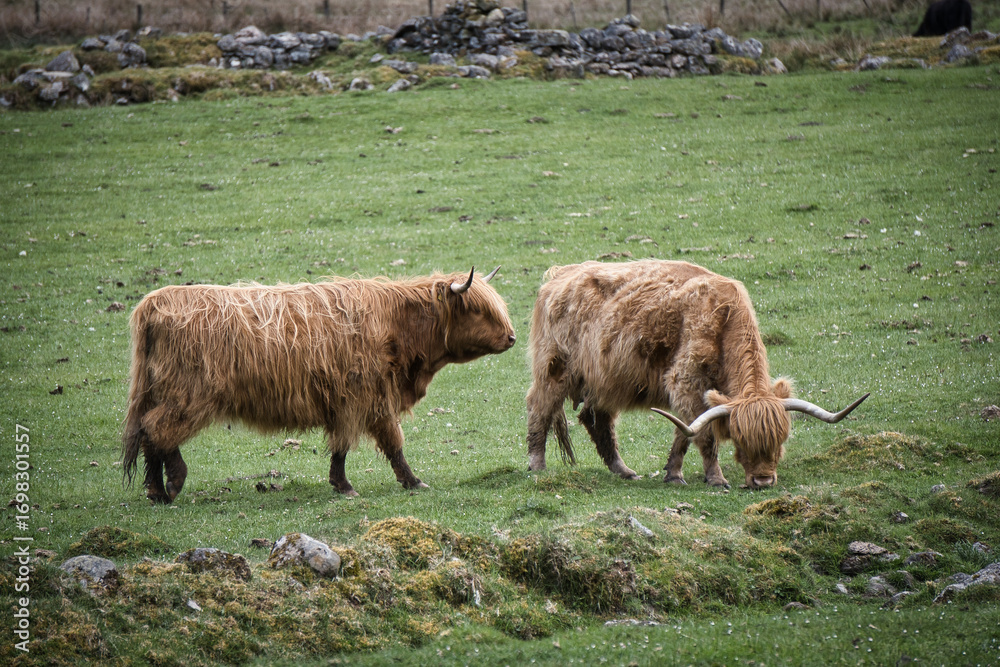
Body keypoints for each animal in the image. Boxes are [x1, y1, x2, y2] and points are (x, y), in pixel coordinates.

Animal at [122, 267, 515, 503]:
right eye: (479, 309)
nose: (511, 337)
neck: (398, 327)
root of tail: (154, 302)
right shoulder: (367, 397)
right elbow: (390, 443)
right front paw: (409, 481)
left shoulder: (351, 400)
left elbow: (342, 445)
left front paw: (341, 483)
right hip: (188, 395)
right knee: (156, 430)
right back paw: (168, 486)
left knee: (147, 431)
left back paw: (157, 488)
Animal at [526, 260, 868, 490]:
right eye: (742, 440)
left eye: (781, 438)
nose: (763, 481)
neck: (724, 316)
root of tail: (560, 274)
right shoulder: (686, 381)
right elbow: (704, 434)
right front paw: (716, 478)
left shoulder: (692, 394)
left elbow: (685, 432)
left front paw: (674, 474)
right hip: (555, 369)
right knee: (539, 408)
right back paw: (537, 465)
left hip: (604, 381)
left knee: (597, 421)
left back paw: (624, 470)